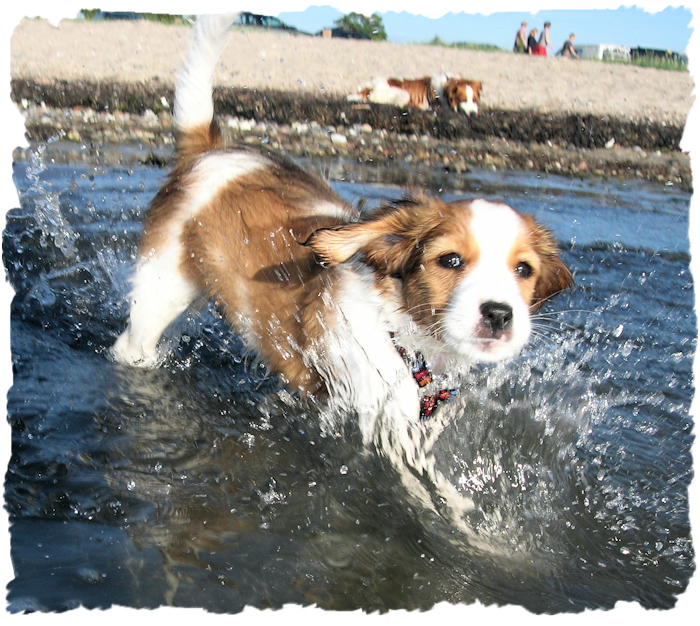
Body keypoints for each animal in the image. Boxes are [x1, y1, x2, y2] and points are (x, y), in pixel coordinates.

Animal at [112, 14, 572, 502]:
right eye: (449, 261)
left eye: (523, 270)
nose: (500, 313)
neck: (402, 340)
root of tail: (211, 149)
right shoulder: (380, 425)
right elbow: (422, 486)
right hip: (160, 290)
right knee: (132, 343)